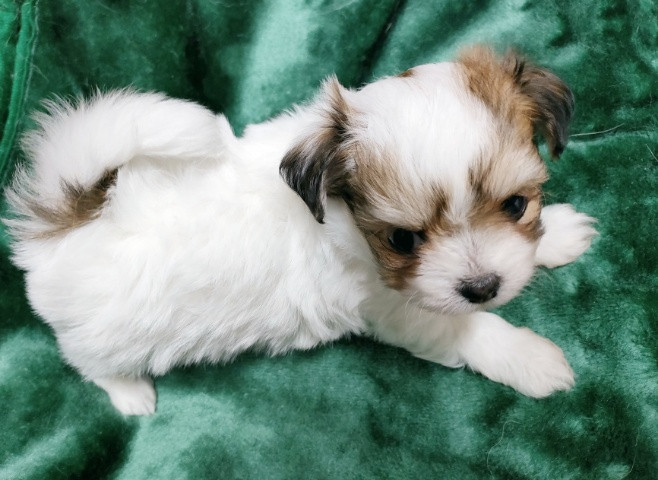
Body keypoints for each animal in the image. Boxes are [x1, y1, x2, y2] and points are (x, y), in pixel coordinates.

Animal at [4, 46, 596, 415]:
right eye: (402, 239)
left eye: (517, 204)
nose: (481, 287)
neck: (337, 218)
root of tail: (67, 221)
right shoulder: (396, 307)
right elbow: (468, 329)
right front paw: (532, 360)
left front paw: (560, 233)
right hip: (105, 334)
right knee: (88, 363)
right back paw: (131, 394)